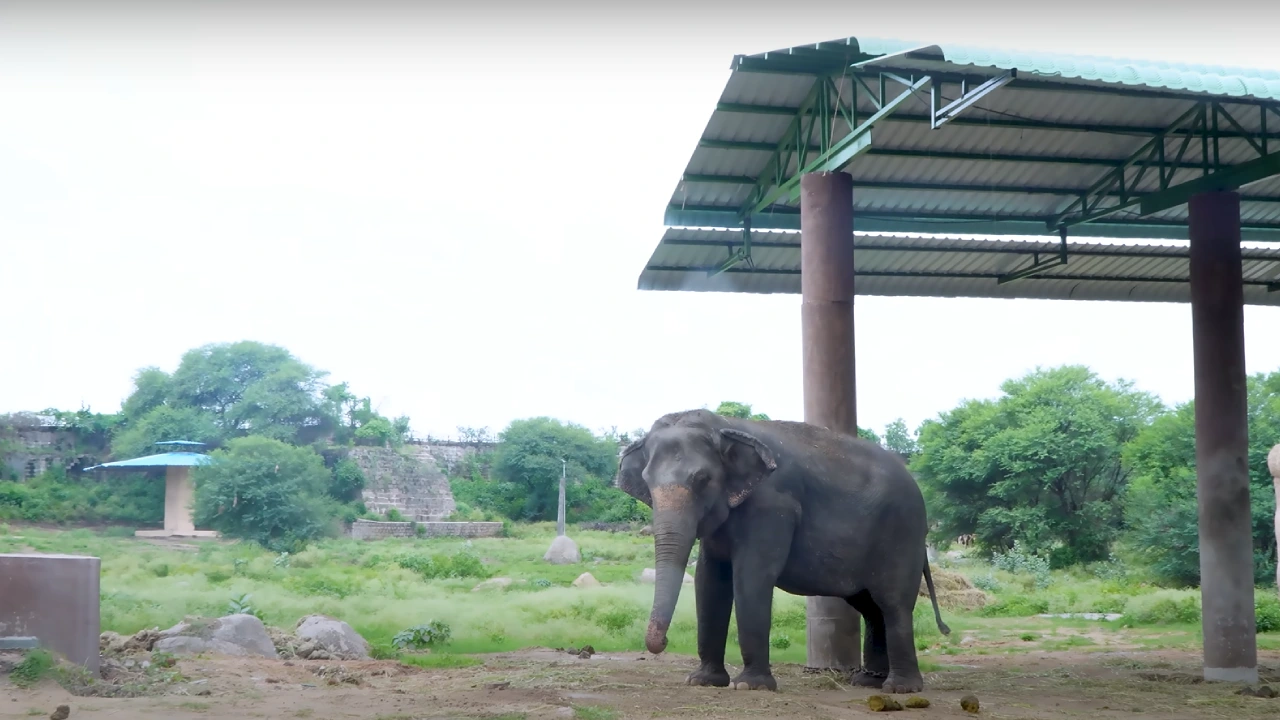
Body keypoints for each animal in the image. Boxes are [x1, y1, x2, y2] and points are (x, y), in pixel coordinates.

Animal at [614, 407, 947, 691]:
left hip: (901, 534)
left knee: (893, 603)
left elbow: (751, 576)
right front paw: (703, 681)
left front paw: (750, 686)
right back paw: (868, 682)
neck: (725, 425)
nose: (664, 642)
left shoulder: (772, 507)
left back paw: (899, 688)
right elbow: (709, 580)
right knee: (870, 606)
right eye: (646, 481)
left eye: (702, 479)